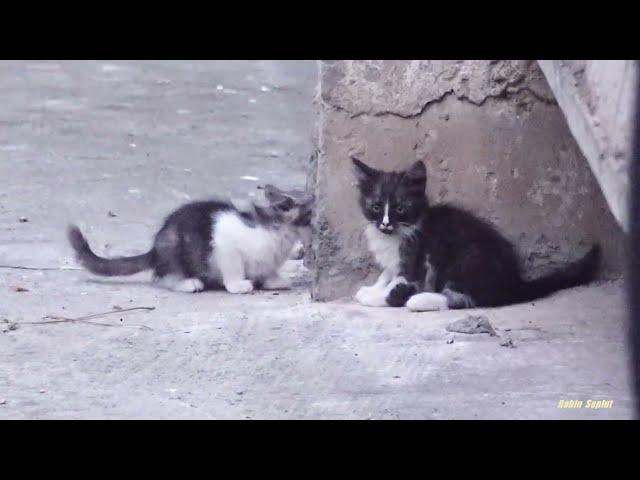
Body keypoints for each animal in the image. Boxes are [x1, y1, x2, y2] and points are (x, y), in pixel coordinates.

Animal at [68, 186, 316, 294]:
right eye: (310, 214)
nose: (315, 198)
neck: (279, 238)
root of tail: (154, 249)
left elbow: (266, 271)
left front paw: (273, 280)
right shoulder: (226, 248)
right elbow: (234, 269)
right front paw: (238, 285)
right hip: (174, 247)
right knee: (161, 278)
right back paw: (189, 283)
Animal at [350, 158, 600, 312]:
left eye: (400, 208)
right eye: (376, 206)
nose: (385, 223)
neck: (396, 235)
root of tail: (513, 282)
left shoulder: (416, 262)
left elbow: (397, 287)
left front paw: (374, 297)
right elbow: (386, 274)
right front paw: (373, 288)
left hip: (467, 259)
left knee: (469, 298)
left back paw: (421, 300)